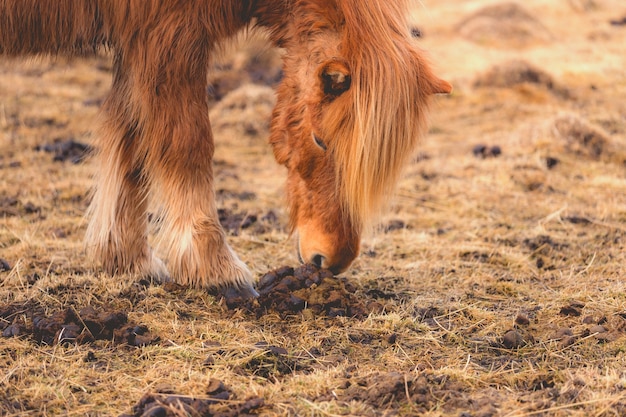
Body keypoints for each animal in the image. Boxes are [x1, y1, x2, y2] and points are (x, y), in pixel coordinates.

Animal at [0, 2, 448, 296]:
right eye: (322, 141)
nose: (331, 260)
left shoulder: (138, 45)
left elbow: (132, 145)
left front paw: (126, 259)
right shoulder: (169, 36)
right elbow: (188, 143)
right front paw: (214, 266)